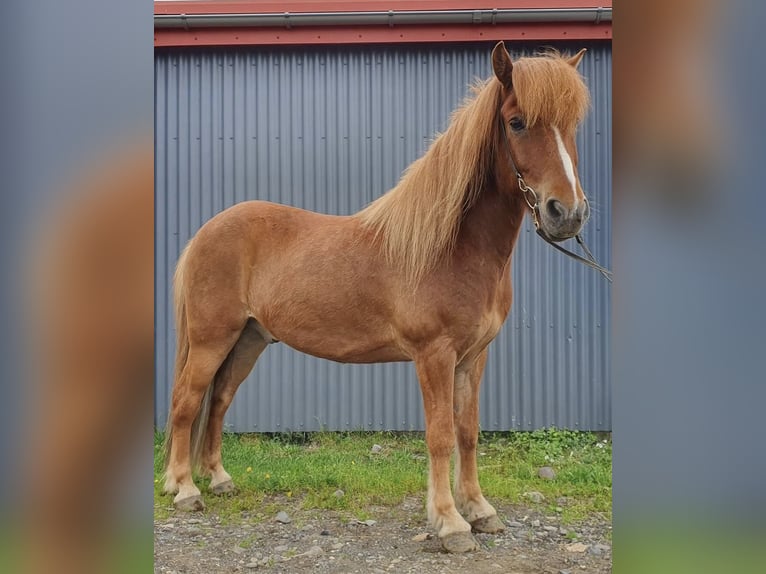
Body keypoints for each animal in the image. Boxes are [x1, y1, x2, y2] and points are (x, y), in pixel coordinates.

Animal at [163, 41, 592, 553]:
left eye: (572, 125)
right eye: (517, 122)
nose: (567, 213)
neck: (453, 247)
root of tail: (203, 234)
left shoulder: (473, 357)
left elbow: (468, 432)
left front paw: (479, 510)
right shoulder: (434, 355)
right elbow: (440, 435)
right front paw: (449, 523)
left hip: (248, 339)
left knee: (220, 399)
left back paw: (219, 479)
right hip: (212, 337)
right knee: (187, 401)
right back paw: (184, 489)